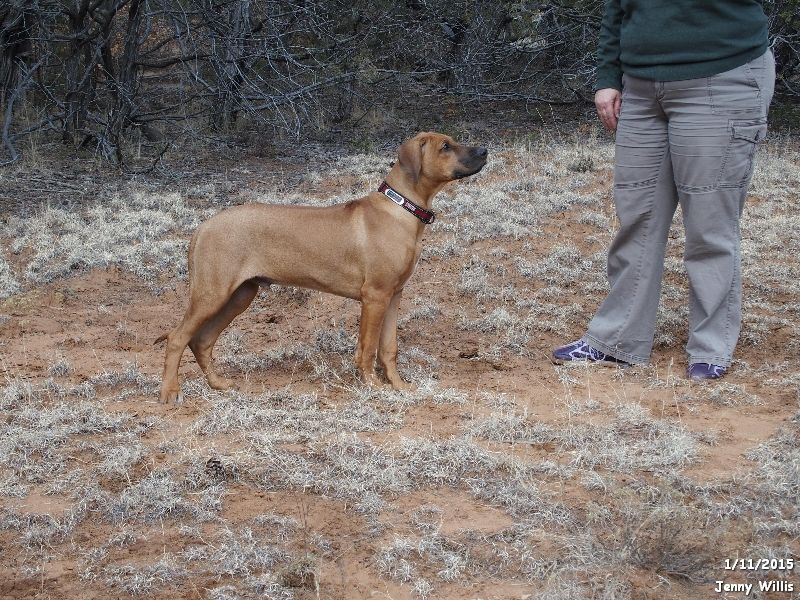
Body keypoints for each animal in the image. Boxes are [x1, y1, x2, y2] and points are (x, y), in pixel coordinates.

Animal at [156, 132, 487, 402]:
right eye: (445, 146)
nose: (485, 150)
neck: (401, 208)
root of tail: (203, 227)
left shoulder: (394, 295)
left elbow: (389, 348)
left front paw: (398, 385)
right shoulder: (375, 296)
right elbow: (368, 347)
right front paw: (372, 385)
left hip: (240, 295)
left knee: (202, 341)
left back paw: (218, 384)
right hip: (212, 293)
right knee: (177, 338)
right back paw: (170, 392)